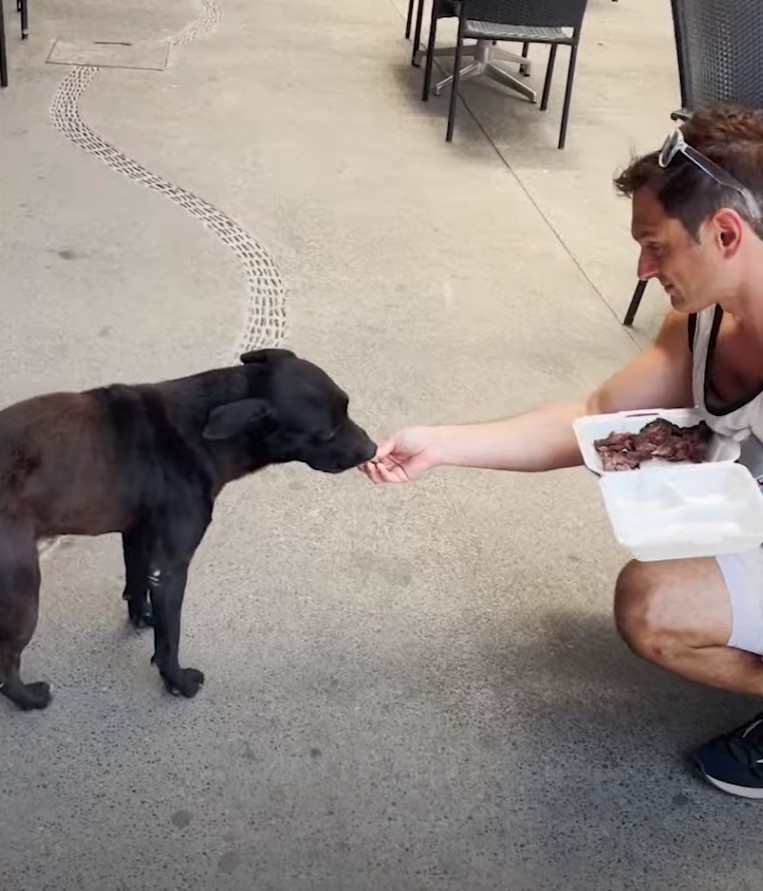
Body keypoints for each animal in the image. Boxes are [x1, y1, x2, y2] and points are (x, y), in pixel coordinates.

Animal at [0, 348, 376, 712]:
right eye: (327, 433)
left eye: (347, 407)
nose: (372, 449)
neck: (198, 429)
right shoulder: (171, 567)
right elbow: (171, 638)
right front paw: (177, 682)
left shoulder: (139, 535)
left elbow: (136, 582)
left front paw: (142, 617)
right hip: (23, 595)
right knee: (7, 664)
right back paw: (29, 700)